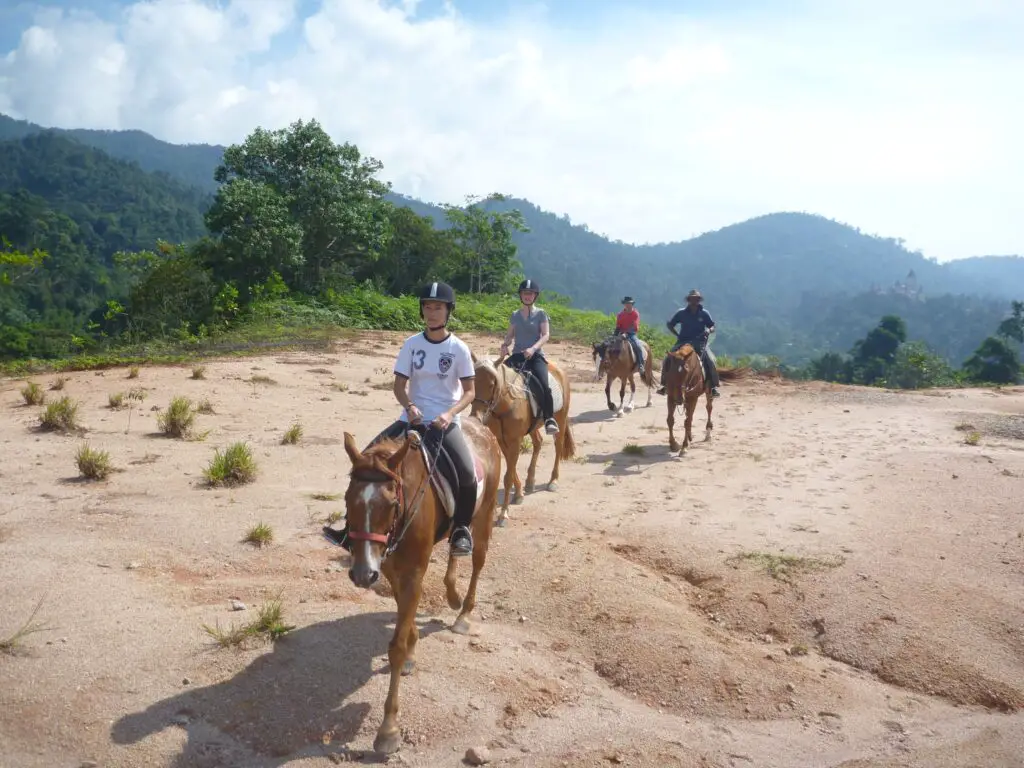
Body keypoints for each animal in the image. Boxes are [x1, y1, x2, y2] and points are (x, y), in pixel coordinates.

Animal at [342, 417, 501, 753]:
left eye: (391, 503)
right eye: (348, 499)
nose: (362, 574)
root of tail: (479, 424)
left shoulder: (413, 571)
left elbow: (397, 646)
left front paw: (388, 730)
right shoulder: (389, 568)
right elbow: (405, 614)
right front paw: (413, 646)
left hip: (485, 513)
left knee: (477, 561)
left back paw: (463, 614)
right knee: (456, 545)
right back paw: (452, 595)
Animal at [468, 356, 577, 528]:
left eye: (492, 384)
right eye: (473, 381)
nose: (476, 415)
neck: (506, 405)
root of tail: (559, 370)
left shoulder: (514, 441)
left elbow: (507, 476)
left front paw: (503, 514)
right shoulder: (502, 440)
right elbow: (511, 470)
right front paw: (519, 494)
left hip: (560, 417)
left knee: (558, 447)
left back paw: (553, 481)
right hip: (533, 427)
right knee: (538, 442)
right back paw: (530, 481)